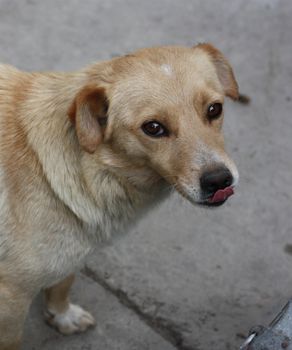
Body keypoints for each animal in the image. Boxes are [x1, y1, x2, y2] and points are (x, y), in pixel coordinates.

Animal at [0, 44, 238, 350]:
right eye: (153, 127)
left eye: (214, 109)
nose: (219, 180)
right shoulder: (11, 296)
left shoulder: (73, 255)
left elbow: (63, 283)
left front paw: (63, 315)